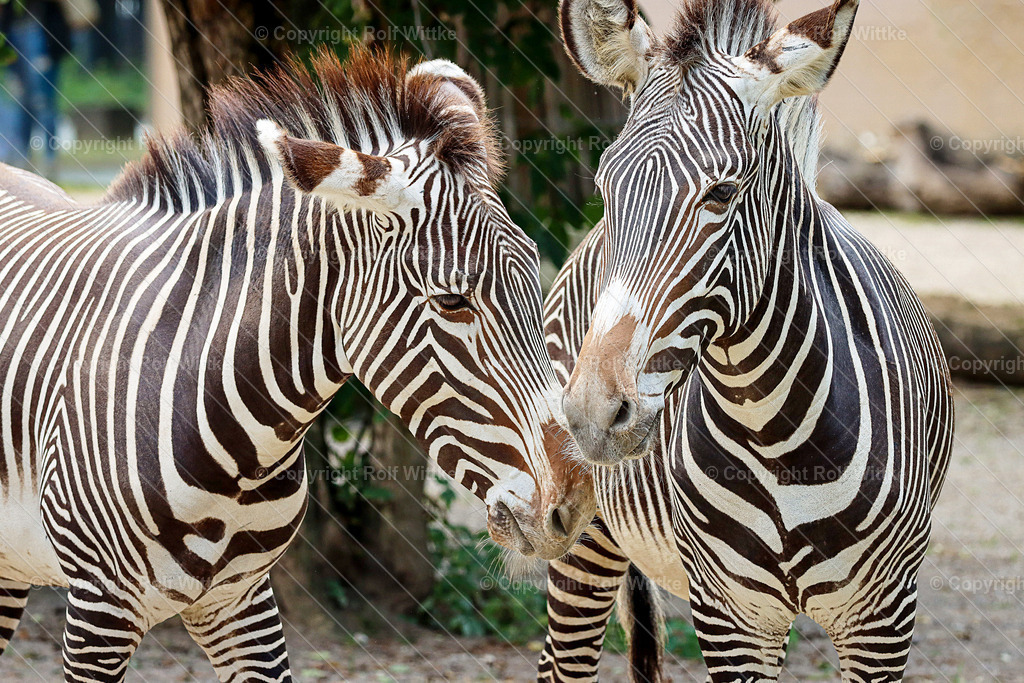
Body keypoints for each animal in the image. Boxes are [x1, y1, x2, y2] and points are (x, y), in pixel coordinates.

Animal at [543, 0, 955, 680]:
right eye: (605, 186)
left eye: (723, 192)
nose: (594, 414)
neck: (775, 435)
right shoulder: (730, 615)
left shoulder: (883, 619)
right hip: (581, 535)